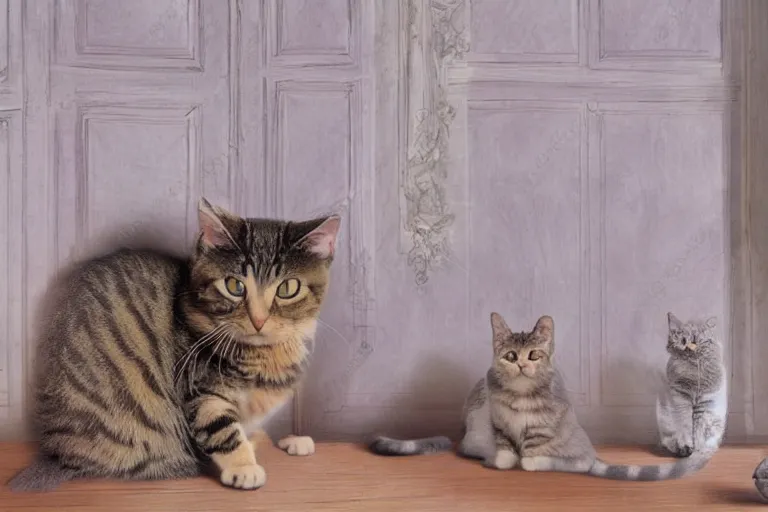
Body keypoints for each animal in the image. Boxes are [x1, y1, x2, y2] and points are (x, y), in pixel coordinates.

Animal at [9, 198, 340, 490]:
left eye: (287, 288)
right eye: (234, 285)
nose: (258, 320)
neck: (267, 355)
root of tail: (56, 452)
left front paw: (289, 440)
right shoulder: (199, 385)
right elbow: (221, 427)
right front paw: (244, 467)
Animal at [370, 312, 712, 480]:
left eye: (534, 354)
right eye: (510, 355)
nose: (522, 364)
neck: (519, 397)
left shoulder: (541, 426)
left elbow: (532, 451)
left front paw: (527, 462)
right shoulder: (498, 422)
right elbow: (506, 447)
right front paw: (504, 460)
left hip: (575, 448)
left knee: (580, 463)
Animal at [656, 310, 728, 458]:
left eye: (703, 341)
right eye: (684, 340)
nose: (693, 345)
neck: (694, 375)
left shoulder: (704, 402)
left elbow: (699, 427)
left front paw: (698, 449)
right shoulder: (681, 398)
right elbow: (685, 425)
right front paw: (686, 446)